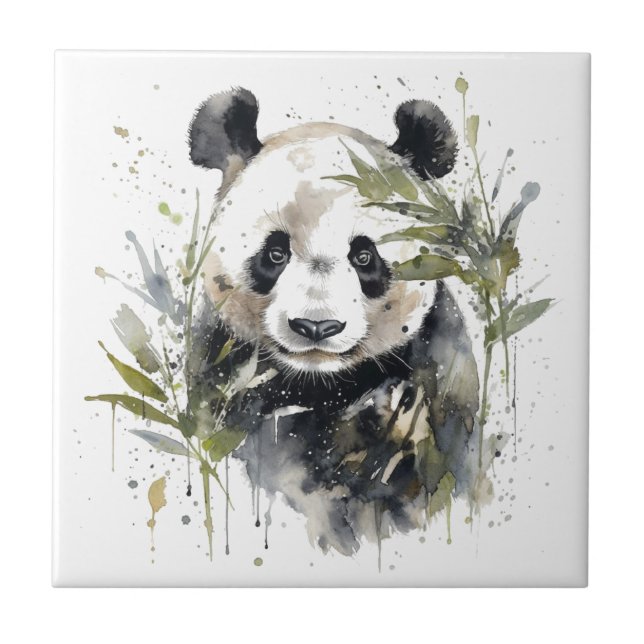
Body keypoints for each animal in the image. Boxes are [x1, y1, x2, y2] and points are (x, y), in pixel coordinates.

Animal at [187, 88, 484, 556]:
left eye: (364, 256)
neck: (318, 382)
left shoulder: (438, 373)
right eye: (275, 253)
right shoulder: (222, 366)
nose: (316, 328)